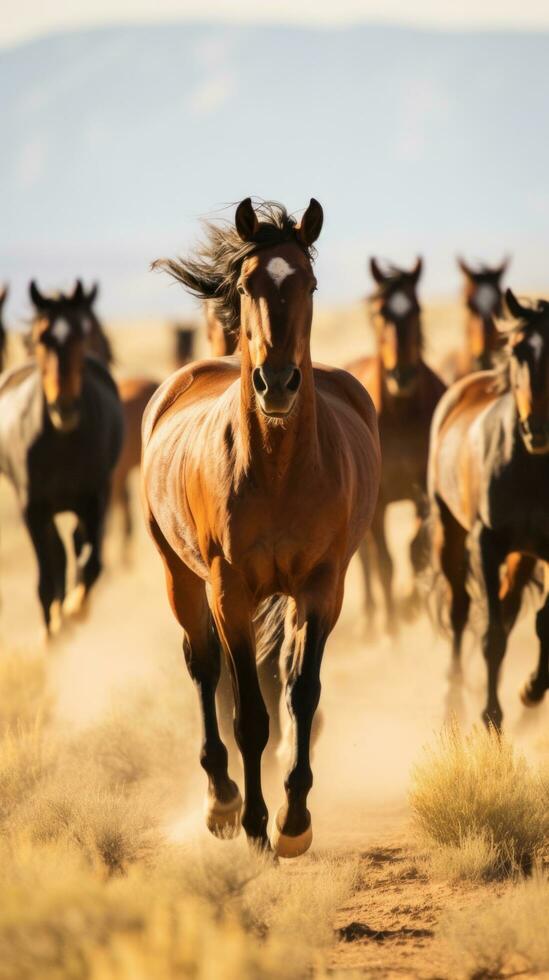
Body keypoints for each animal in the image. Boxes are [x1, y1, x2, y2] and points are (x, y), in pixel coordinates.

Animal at [0, 284, 122, 636]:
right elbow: (46, 579)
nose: (64, 407)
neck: (62, 441)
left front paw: (74, 611)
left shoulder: (95, 500)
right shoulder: (32, 509)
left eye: (83, 334)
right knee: (57, 555)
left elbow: (92, 564)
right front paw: (54, 629)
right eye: (42, 338)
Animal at [143, 201, 378, 856]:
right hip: (180, 577)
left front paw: (294, 822)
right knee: (203, 667)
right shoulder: (230, 590)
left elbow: (302, 692)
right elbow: (248, 710)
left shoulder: (323, 587)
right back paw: (220, 800)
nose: (276, 383)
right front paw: (254, 824)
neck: (277, 469)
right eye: (248, 285)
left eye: (311, 283)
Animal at [346, 256, 446, 636]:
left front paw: (417, 607)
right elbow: (385, 562)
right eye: (379, 312)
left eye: (415, 309)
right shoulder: (377, 504)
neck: (400, 415)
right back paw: (371, 618)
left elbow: (416, 551)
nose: (400, 376)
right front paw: (391, 629)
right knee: (366, 560)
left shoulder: (422, 492)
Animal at [430, 286, 549, 728]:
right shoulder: (486, 542)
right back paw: (453, 698)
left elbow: (541, 622)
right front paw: (490, 716)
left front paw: (530, 690)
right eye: (517, 351)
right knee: (461, 610)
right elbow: (492, 634)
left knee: (509, 605)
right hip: (449, 532)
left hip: (524, 554)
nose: (536, 429)